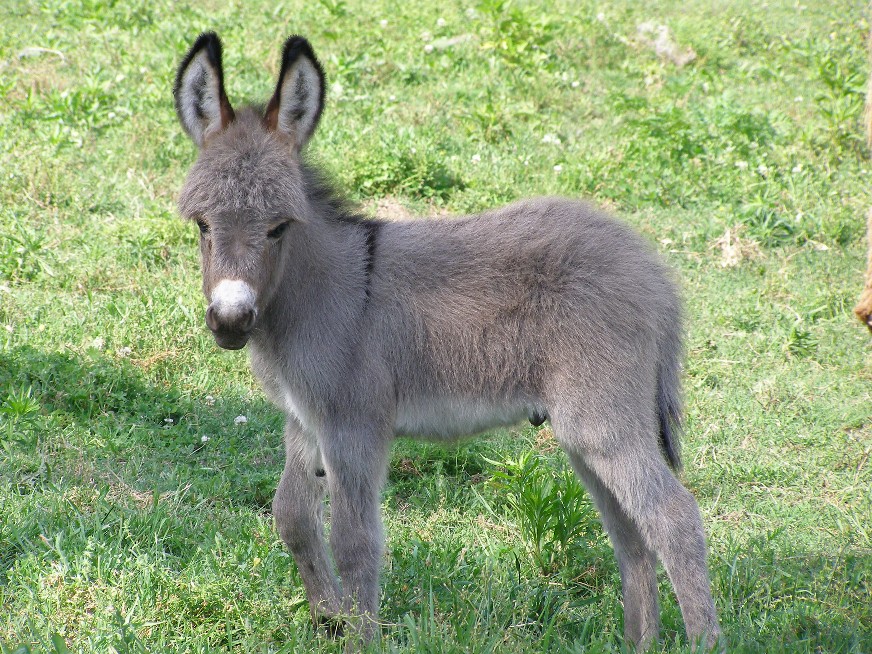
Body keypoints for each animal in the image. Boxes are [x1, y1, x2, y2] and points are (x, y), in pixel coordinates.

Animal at [175, 34, 724, 652]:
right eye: (201, 225)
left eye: (278, 227)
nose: (229, 321)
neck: (323, 290)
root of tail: (654, 273)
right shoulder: (304, 418)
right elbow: (291, 515)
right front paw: (329, 617)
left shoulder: (354, 424)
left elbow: (354, 542)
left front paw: (359, 636)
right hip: (585, 433)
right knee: (631, 534)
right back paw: (640, 642)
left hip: (603, 420)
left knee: (673, 519)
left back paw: (703, 639)